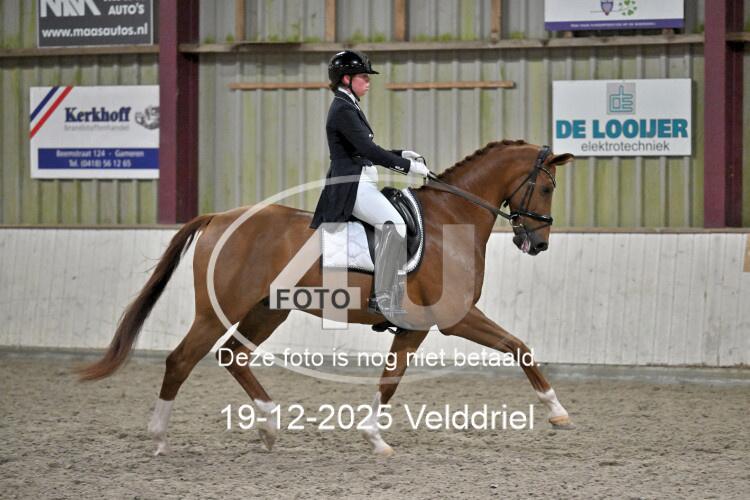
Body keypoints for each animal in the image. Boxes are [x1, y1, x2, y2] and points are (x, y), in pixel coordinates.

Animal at [77, 139, 575, 457]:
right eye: (547, 187)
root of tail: (217, 216)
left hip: (267, 310)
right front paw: (558, 412)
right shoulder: (453, 318)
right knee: (182, 359)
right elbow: (519, 347)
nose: (539, 244)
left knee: (234, 355)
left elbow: (390, 380)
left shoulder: (413, 327)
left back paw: (270, 427)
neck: (451, 221)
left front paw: (374, 438)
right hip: (218, 311)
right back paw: (160, 438)